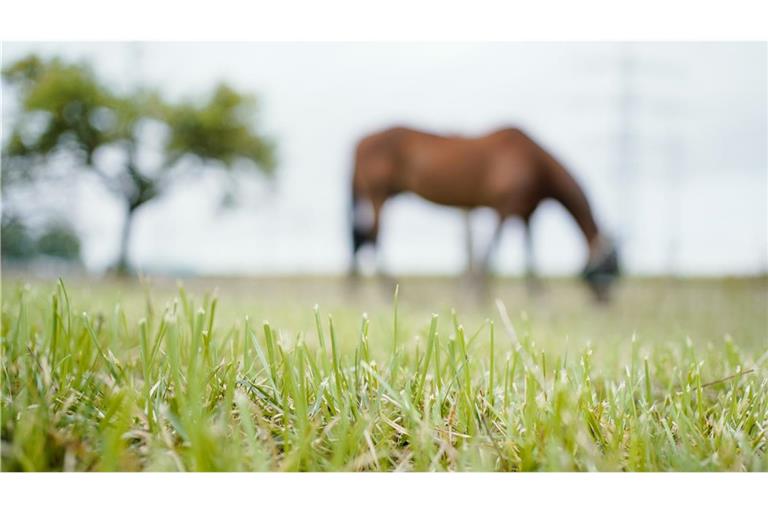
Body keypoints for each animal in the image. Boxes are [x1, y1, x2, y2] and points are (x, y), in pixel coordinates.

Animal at [352, 126, 620, 300]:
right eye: (611, 266)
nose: (606, 300)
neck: (536, 164)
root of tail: (361, 140)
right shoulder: (505, 206)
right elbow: (491, 249)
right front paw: (477, 292)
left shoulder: (526, 212)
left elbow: (529, 253)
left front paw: (537, 295)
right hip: (378, 193)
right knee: (373, 236)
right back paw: (387, 289)